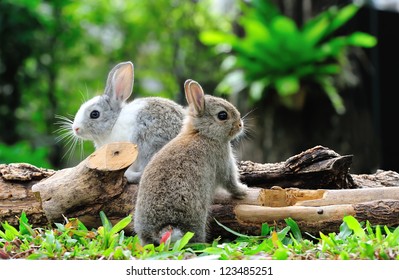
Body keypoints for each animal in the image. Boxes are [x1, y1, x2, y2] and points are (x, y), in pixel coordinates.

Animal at [134, 79, 247, 245]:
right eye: (222, 115)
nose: (240, 125)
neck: (202, 133)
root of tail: (164, 228)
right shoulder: (223, 162)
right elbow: (230, 182)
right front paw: (243, 191)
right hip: (196, 219)